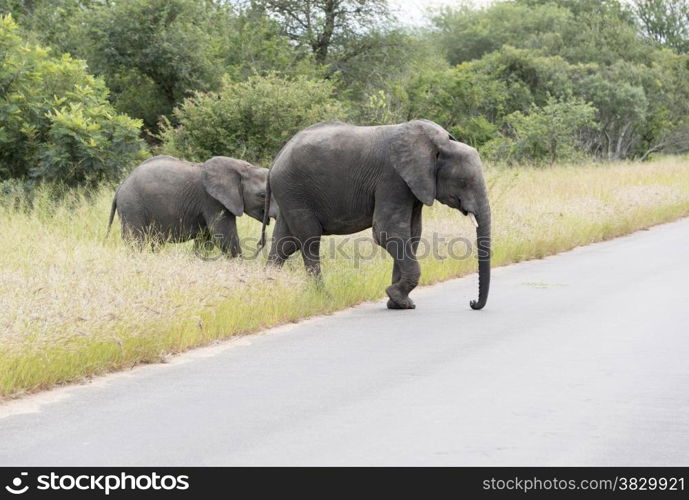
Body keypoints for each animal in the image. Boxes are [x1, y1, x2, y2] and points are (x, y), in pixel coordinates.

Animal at [107, 154, 276, 256]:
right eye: (262, 195)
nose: (260, 244)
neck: (241, 167)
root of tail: (120, 188)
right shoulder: (212, 200)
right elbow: (222, 234)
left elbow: (206, 239)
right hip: (132, 206)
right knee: (136, 240)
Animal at [258, 119, 490, 310]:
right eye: (463, 182)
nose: (472, 302)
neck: (440, 144)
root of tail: (276, 160)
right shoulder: (393, 178)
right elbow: (387, 231)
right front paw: (396, 296)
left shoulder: (414, 185)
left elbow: (411, 233)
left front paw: (399, 303)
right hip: (295, 191)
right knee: (309, 241)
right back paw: (324, 298)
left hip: (289, 194)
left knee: (284, 244)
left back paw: (269, 291)